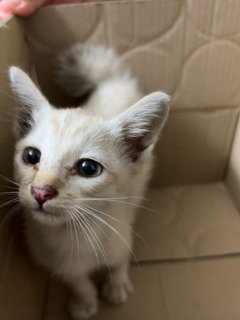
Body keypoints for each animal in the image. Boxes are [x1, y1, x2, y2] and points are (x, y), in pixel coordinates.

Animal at [8, 44, 169, 320]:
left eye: (88, 168)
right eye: (31, 156)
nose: (41, 191)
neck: (73, 235)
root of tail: (112, 79)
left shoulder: (121, 233)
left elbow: (119, 262)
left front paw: (117, 287)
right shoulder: (55, 261)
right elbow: (77, 280)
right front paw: (85, 302)